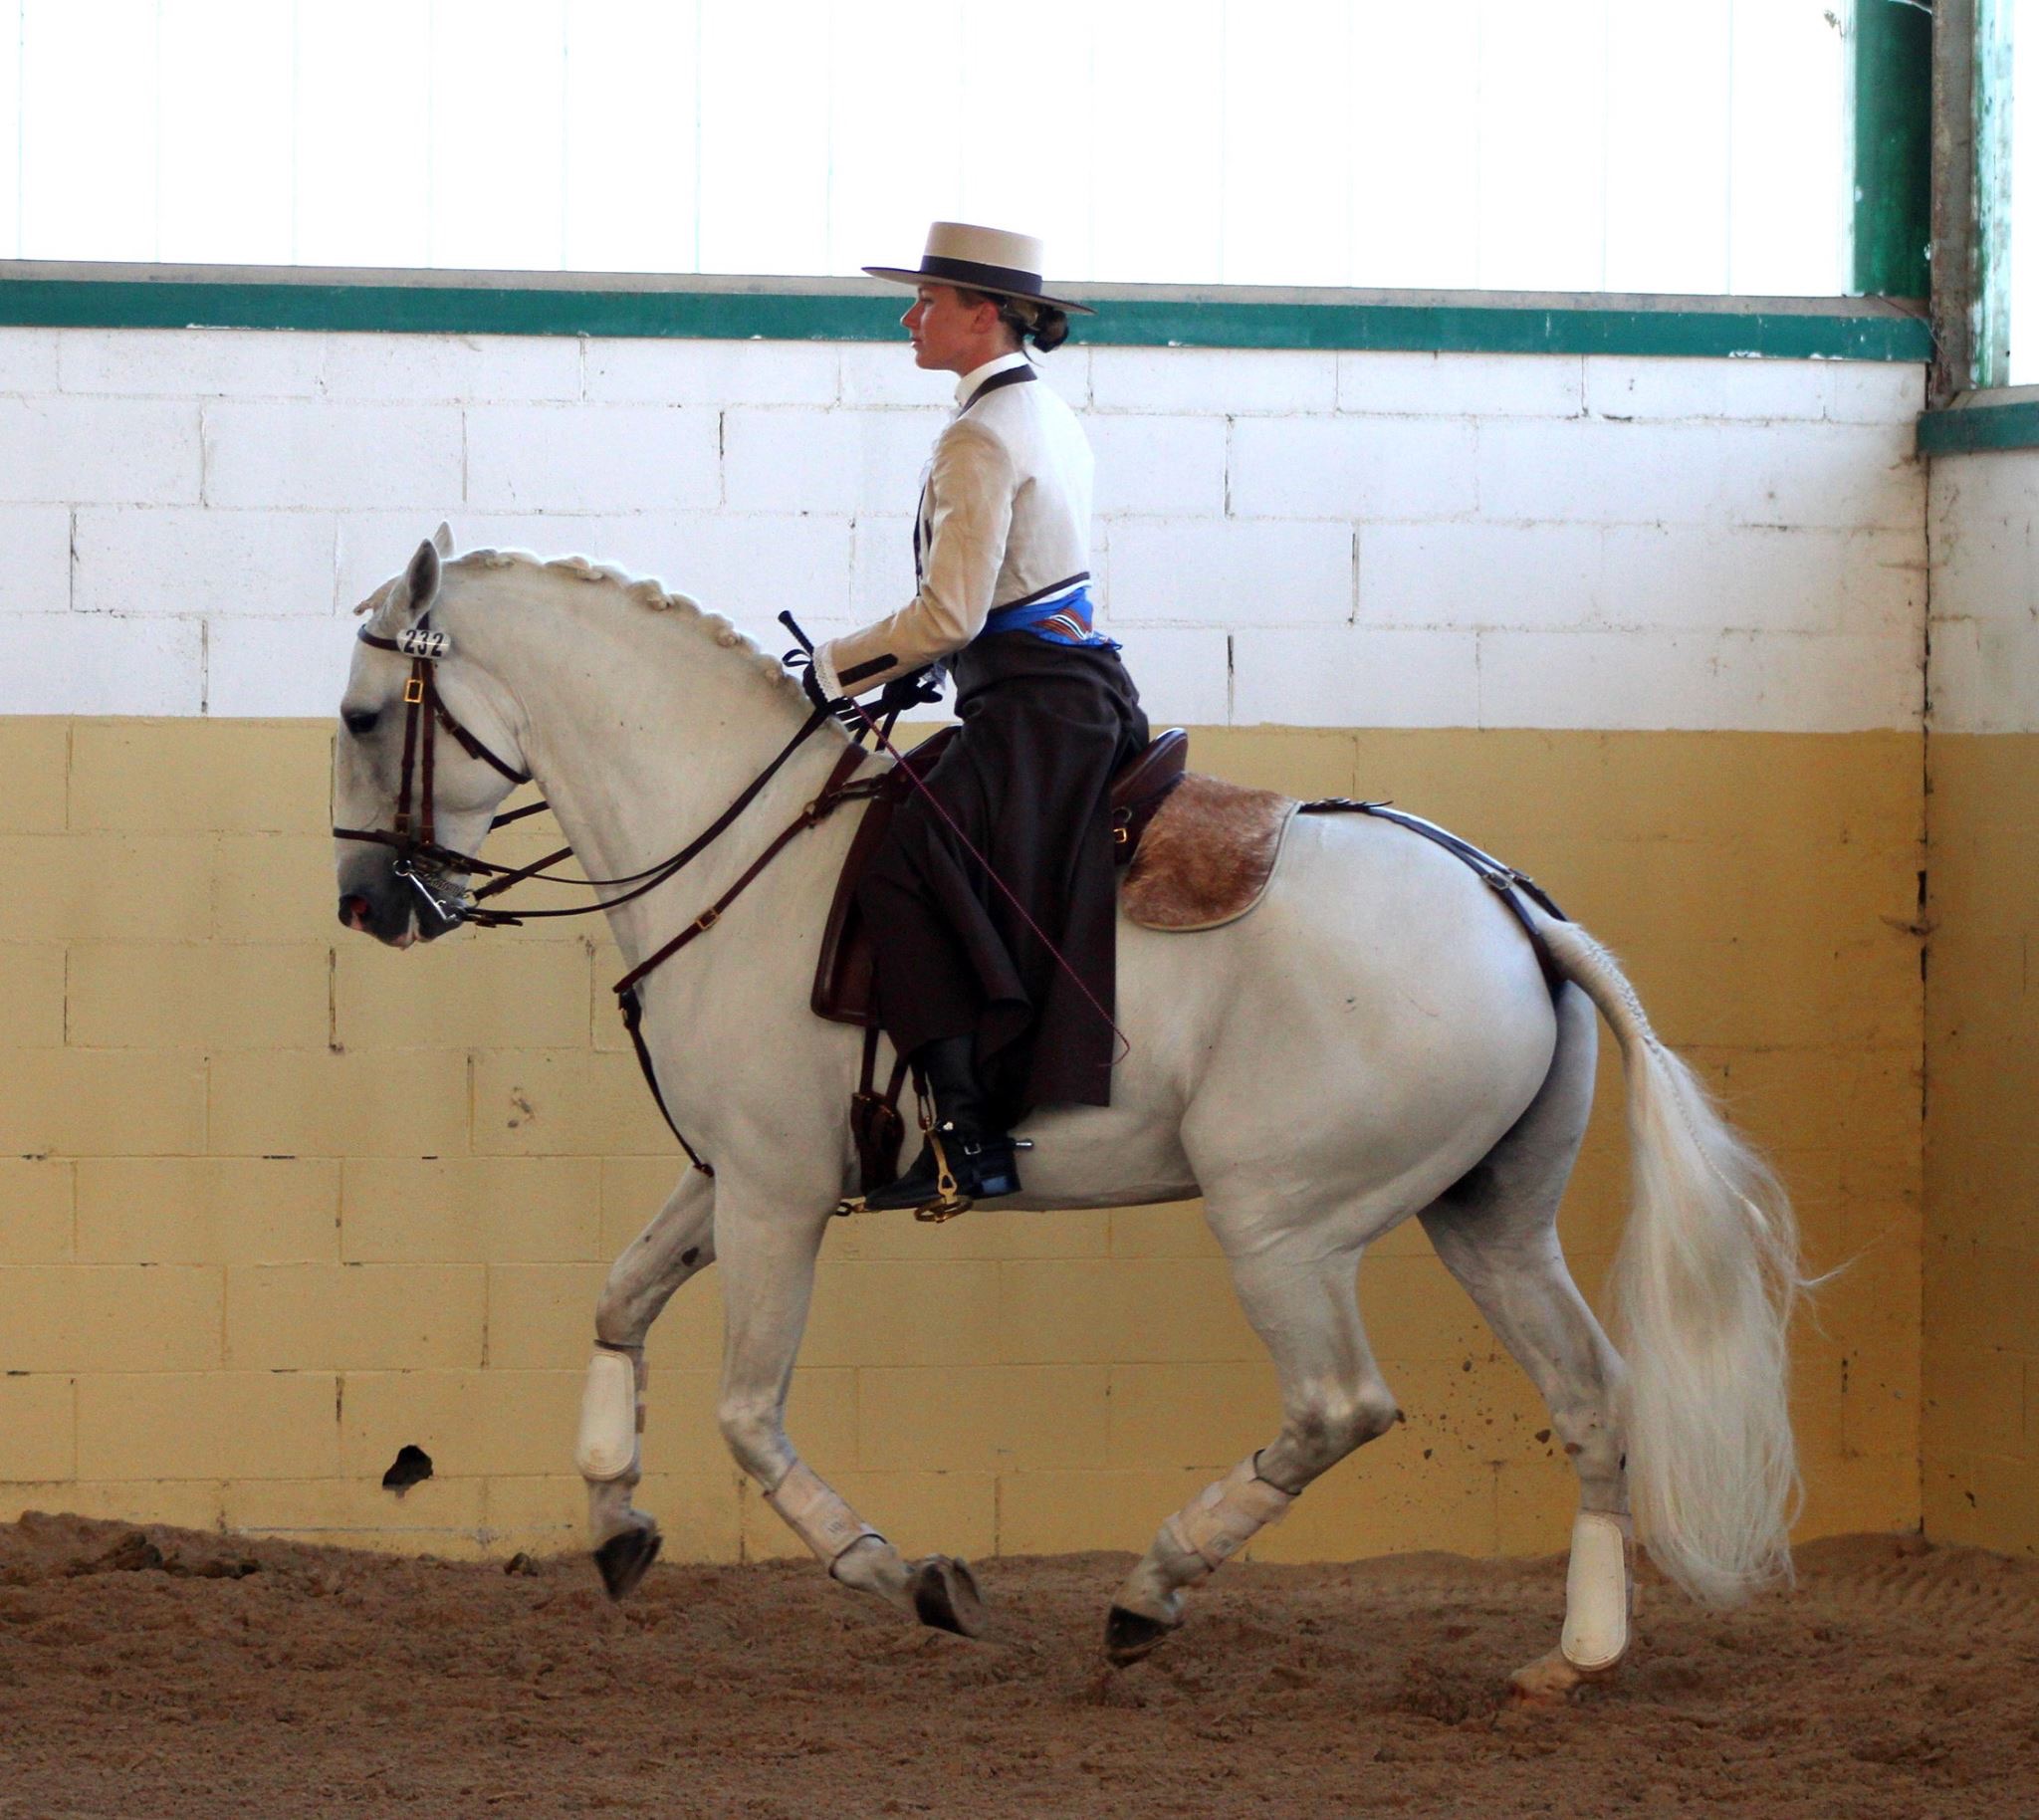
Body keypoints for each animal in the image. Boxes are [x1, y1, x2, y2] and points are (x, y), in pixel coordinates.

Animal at [330, 534, 1802, 1696]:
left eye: (356, 718)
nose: (369, 907)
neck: (739, 852)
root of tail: (1509, 904)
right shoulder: (730, 1177)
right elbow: (619, 1299)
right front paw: (614, 1521)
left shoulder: (774, 1196)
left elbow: (747, 1416)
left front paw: (908, 1577)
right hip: (1485, 1220)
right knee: (1591, 1393)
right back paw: (1579, 1653)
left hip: (1283, 1224)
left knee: (1336, 1405)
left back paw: (1149, 1590)